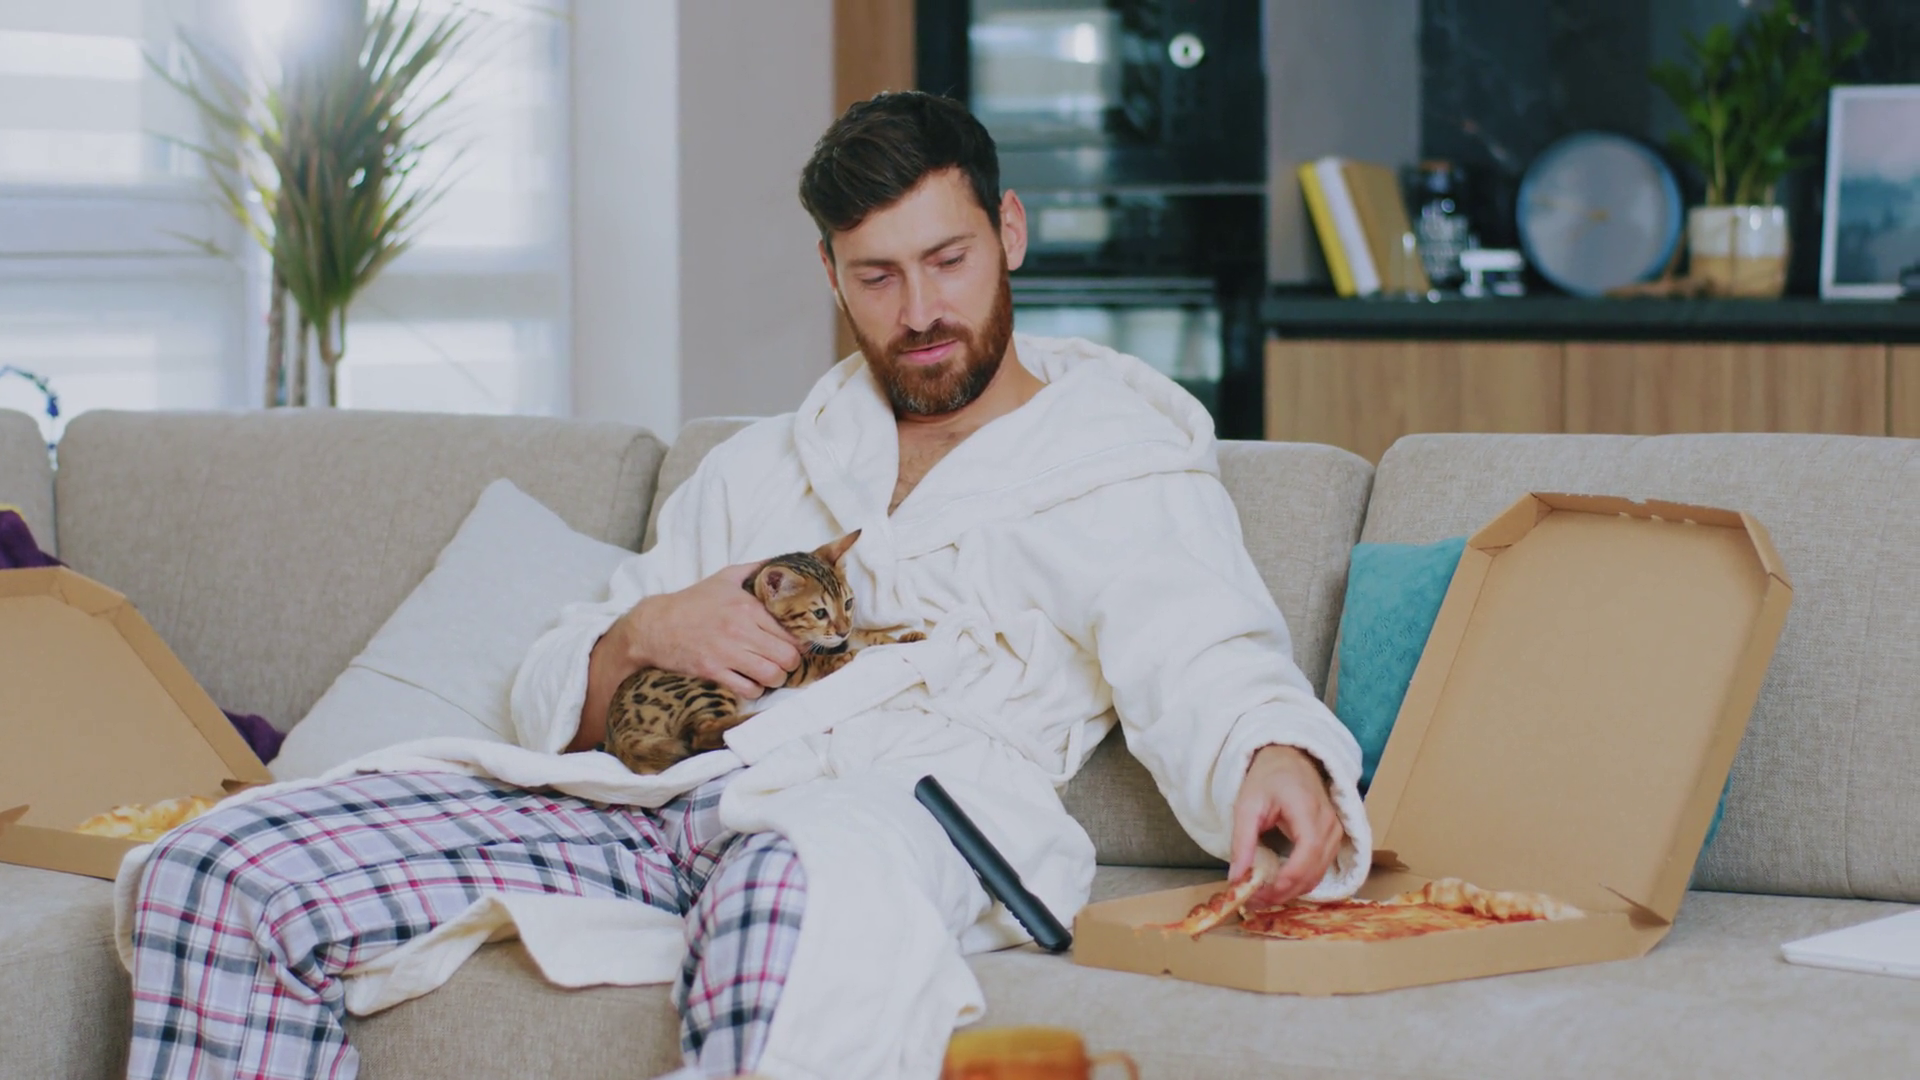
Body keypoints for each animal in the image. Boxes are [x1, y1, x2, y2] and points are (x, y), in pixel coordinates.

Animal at [601, 529, 924, 774]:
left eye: (848, 603)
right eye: (820, 612)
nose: (843, 629)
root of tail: (616, 731)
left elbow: (865, 636)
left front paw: (905, 638)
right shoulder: (782, 667)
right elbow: (815, 659)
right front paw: (837, 660)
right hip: (703, 685)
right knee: (702, 734)